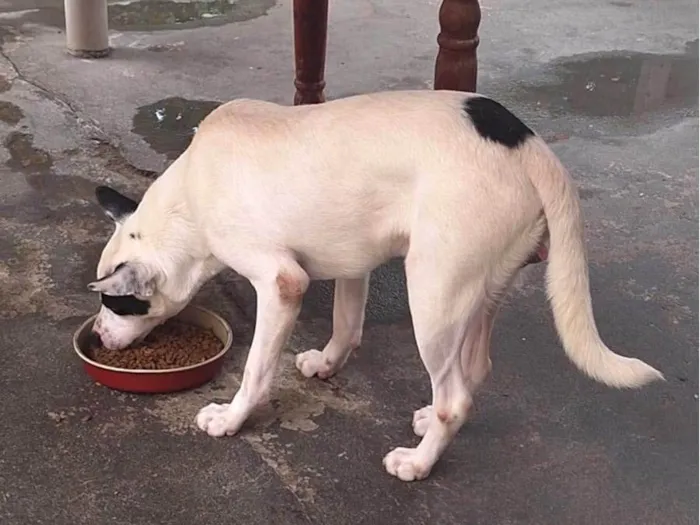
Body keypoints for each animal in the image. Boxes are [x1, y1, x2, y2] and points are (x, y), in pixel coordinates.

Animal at [87, 90, 660, 478]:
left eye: (119, 303)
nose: (96, 337)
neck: (187, 199)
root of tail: (530, 146)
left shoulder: (281, 282)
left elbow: (255, 370)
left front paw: (232, 418)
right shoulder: (351, 262)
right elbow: (346, 326)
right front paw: (326, 363)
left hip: (433, 295)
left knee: (456, 396)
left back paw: (419, 462)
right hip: (481, 290)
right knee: (474, 369)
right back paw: (431, 422)